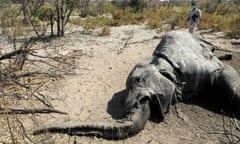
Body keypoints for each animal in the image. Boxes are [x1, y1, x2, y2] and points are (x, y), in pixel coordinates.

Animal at [32, 30, 240, 140]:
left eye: (139, 81)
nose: (38, 130)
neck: (160, 61)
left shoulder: (198, 67)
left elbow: (224, 75)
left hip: (201, 41)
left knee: (213, 49)